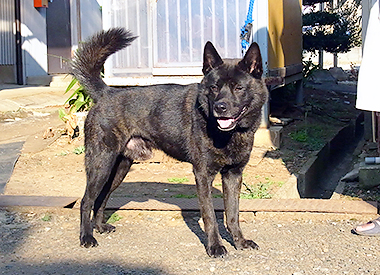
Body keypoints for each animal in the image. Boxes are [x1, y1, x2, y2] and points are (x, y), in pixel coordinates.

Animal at [74, 28, 268, 258]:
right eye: (214, 87)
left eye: (239, 88)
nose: (220, 107)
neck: (227, 134)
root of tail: (106, 92)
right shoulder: (203, 175)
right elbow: (210, 216)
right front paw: (215, 246)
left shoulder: (233, 175)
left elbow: (232, 215)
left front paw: (240, 242)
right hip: (101, 163)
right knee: (86, 200)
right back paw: (87, 237)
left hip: (119, 167)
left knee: (101, 197)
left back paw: (100, 227)